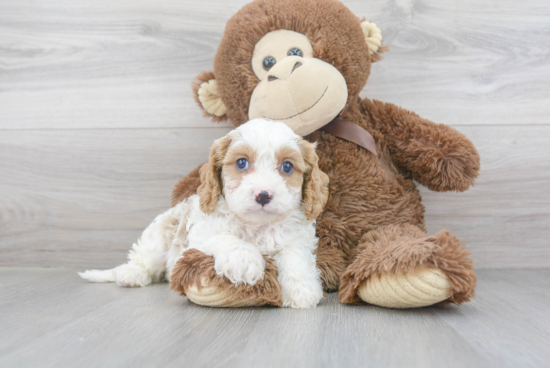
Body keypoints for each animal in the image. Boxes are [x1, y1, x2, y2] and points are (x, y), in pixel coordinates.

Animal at [80, 119, 330, 310]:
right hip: (158, 239)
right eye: (241, 163)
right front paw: (245, 260)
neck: (256, 226)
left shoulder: (296, 237)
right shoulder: (200, 237)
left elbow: (294, 255)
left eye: (287, 167)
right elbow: (226, 238)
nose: (263, 195)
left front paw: (301, 289)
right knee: (140, 259)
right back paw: (132, 274)